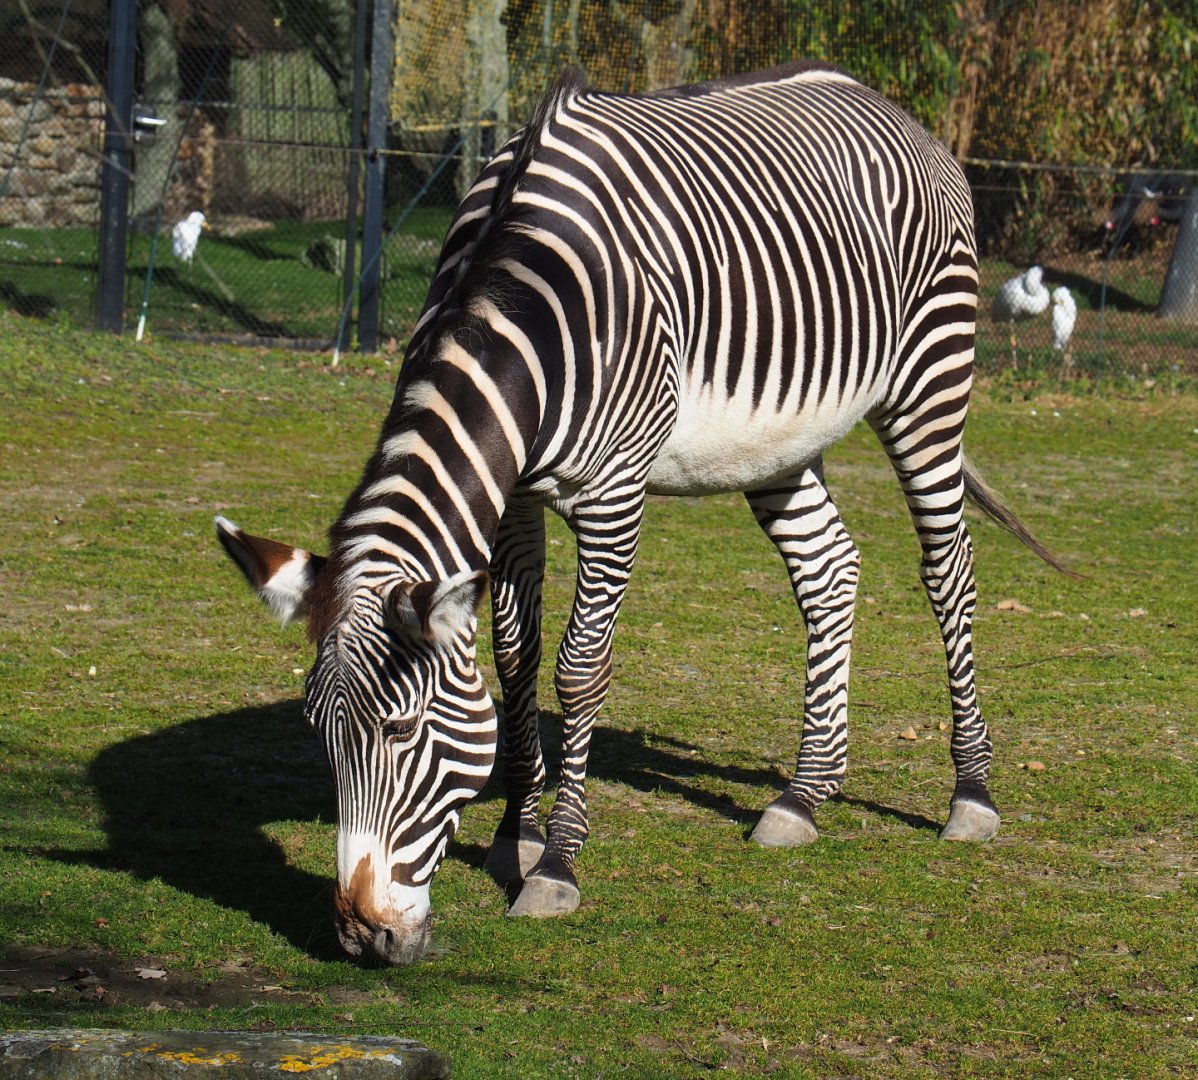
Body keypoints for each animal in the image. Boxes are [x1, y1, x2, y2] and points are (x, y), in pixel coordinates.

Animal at [216, 62, 1067, 965]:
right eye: (318, 732)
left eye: (403, 732)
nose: (362, 938)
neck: (520, 300)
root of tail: (887, 108)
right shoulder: (514, 499)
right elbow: (516, 659)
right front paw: (514, 837)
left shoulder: (613, 497)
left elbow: (579, 669)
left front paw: (556, 865)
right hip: (779, 440)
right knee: (829, 569)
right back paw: (804, 794)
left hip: (929, 384)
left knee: (948, 573)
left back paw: (970, 792)